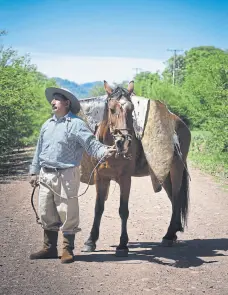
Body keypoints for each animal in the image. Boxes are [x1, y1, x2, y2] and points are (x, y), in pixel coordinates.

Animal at [83, 80, 191, 256]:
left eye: (131, 109)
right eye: (111, 109)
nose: (123, 142)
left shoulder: (125, 179)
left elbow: (123, 210)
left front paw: (122, 244)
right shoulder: (101, 178)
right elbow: (98, 208)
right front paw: (90, 241)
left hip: (176, 169)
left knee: (176, 198)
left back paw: (168, 236)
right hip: (164, 174)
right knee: (174, 199)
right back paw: (174, 232)